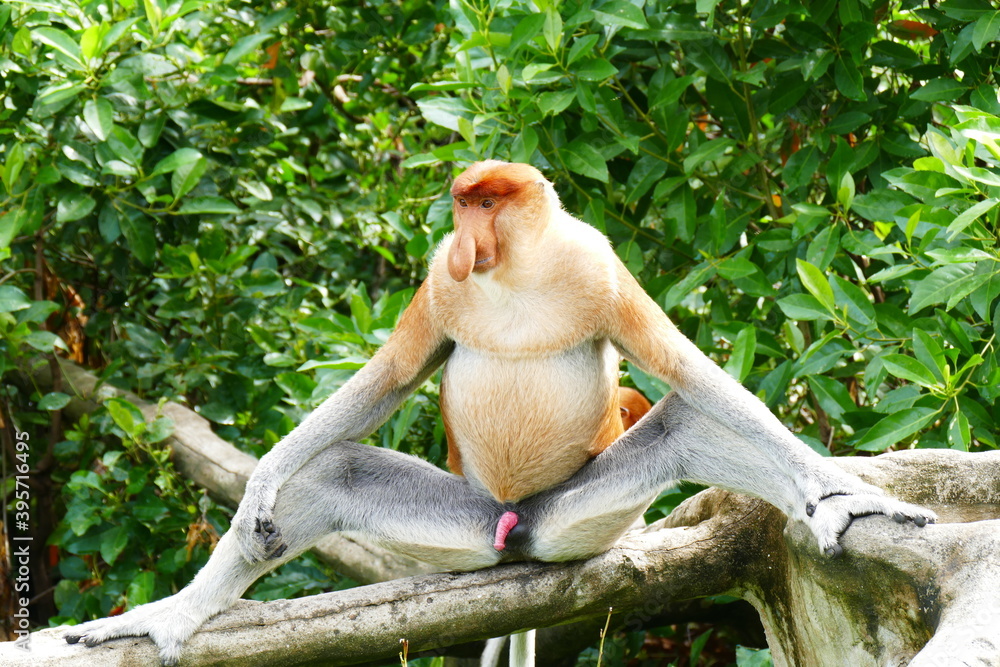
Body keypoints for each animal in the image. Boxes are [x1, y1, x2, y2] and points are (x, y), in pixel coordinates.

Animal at [64, 160, 936, 665]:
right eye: (460, 204)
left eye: (489, 202)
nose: (464, 240)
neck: (518, 273)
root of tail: (515, 524)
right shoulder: (437, 283)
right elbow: (388, 377)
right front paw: (262, 485)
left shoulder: (599, 264)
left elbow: (688, 370)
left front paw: (856, 491)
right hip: (464, 524)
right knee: (337, 469)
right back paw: (171, 620)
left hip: (576, 516)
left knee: (687, 423)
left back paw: (833, 509)